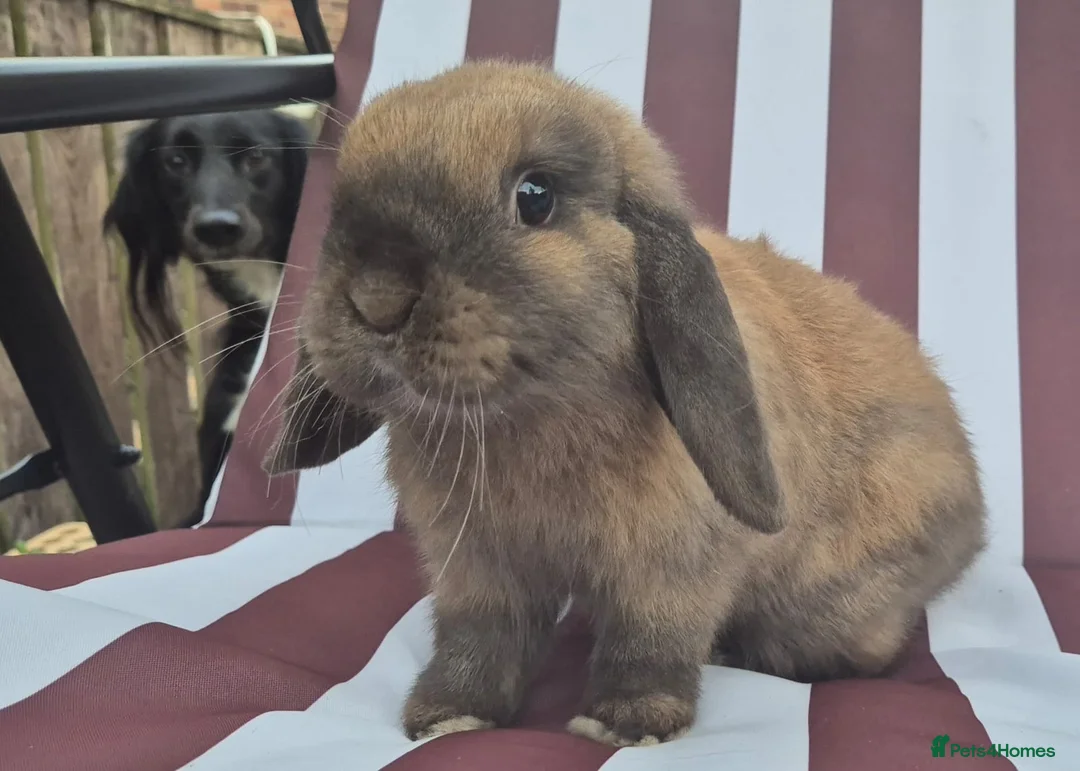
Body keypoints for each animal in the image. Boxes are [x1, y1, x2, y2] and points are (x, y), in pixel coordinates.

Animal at [263, 60, 987, 747]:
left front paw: (626, 721)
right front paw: (447, 715)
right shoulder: (475, 568)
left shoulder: (672, 566)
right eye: (340, 201)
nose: (376, 298)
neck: (527, 417)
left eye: (535, 196)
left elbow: (651, 638)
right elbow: (478, 638)